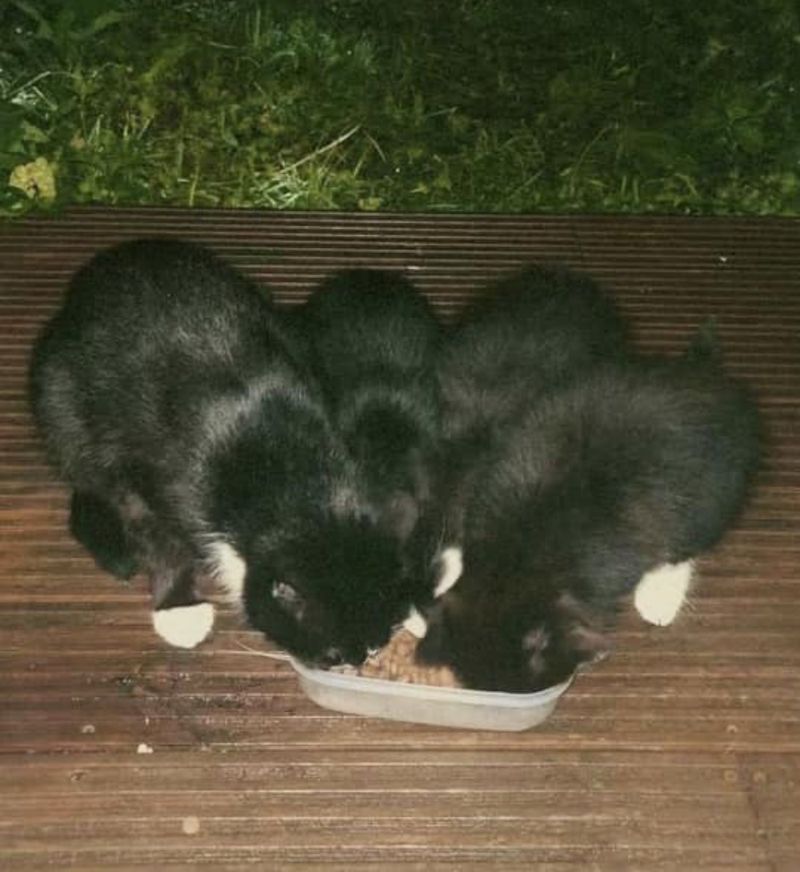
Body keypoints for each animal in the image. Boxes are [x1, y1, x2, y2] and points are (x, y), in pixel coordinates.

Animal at [31, 238, 416, 660]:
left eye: (385, 632)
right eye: (332, 653)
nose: (362, 657)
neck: (286, 470)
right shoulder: (154, 480)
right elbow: (161, 541)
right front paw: (177, 606)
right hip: (60, 396)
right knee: (86, 470)